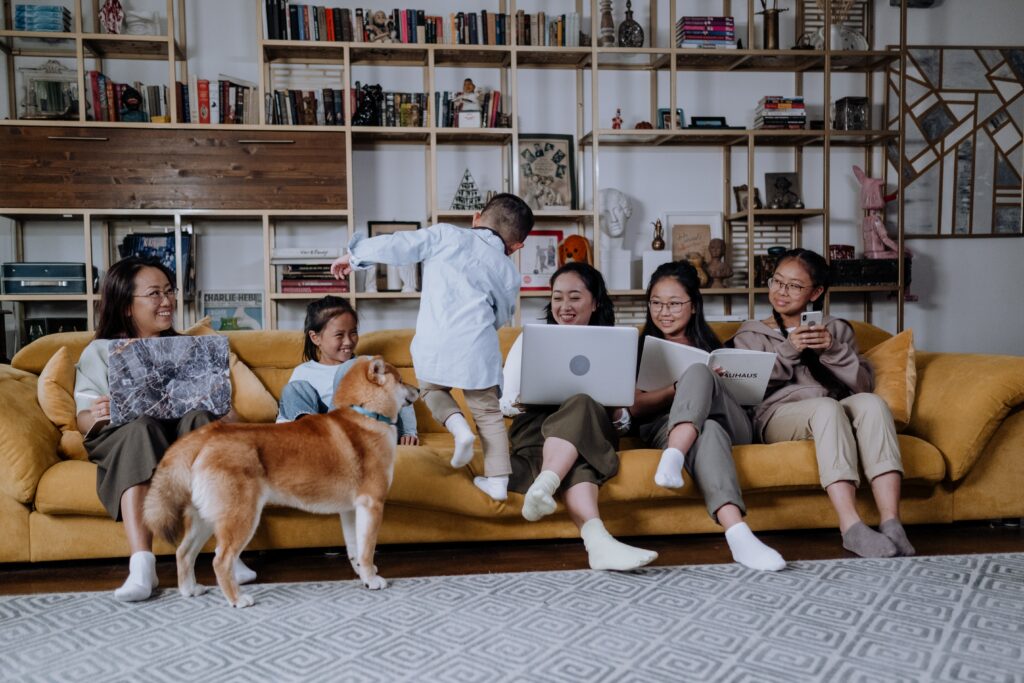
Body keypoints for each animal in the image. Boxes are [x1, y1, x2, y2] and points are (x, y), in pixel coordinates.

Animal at [143, 356, 415, 606]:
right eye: (401, 381)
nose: (418, 390)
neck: (366, 413)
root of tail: (205, 436)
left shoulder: (351, 509)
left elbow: (355, 548)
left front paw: (363, 576)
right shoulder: (371, 504)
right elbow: (367, 549)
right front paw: (373, 579)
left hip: (205, 518)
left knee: (184, 553)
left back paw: (190, 590)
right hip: (241, 516)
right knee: (220, 560)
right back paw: (237, 599)